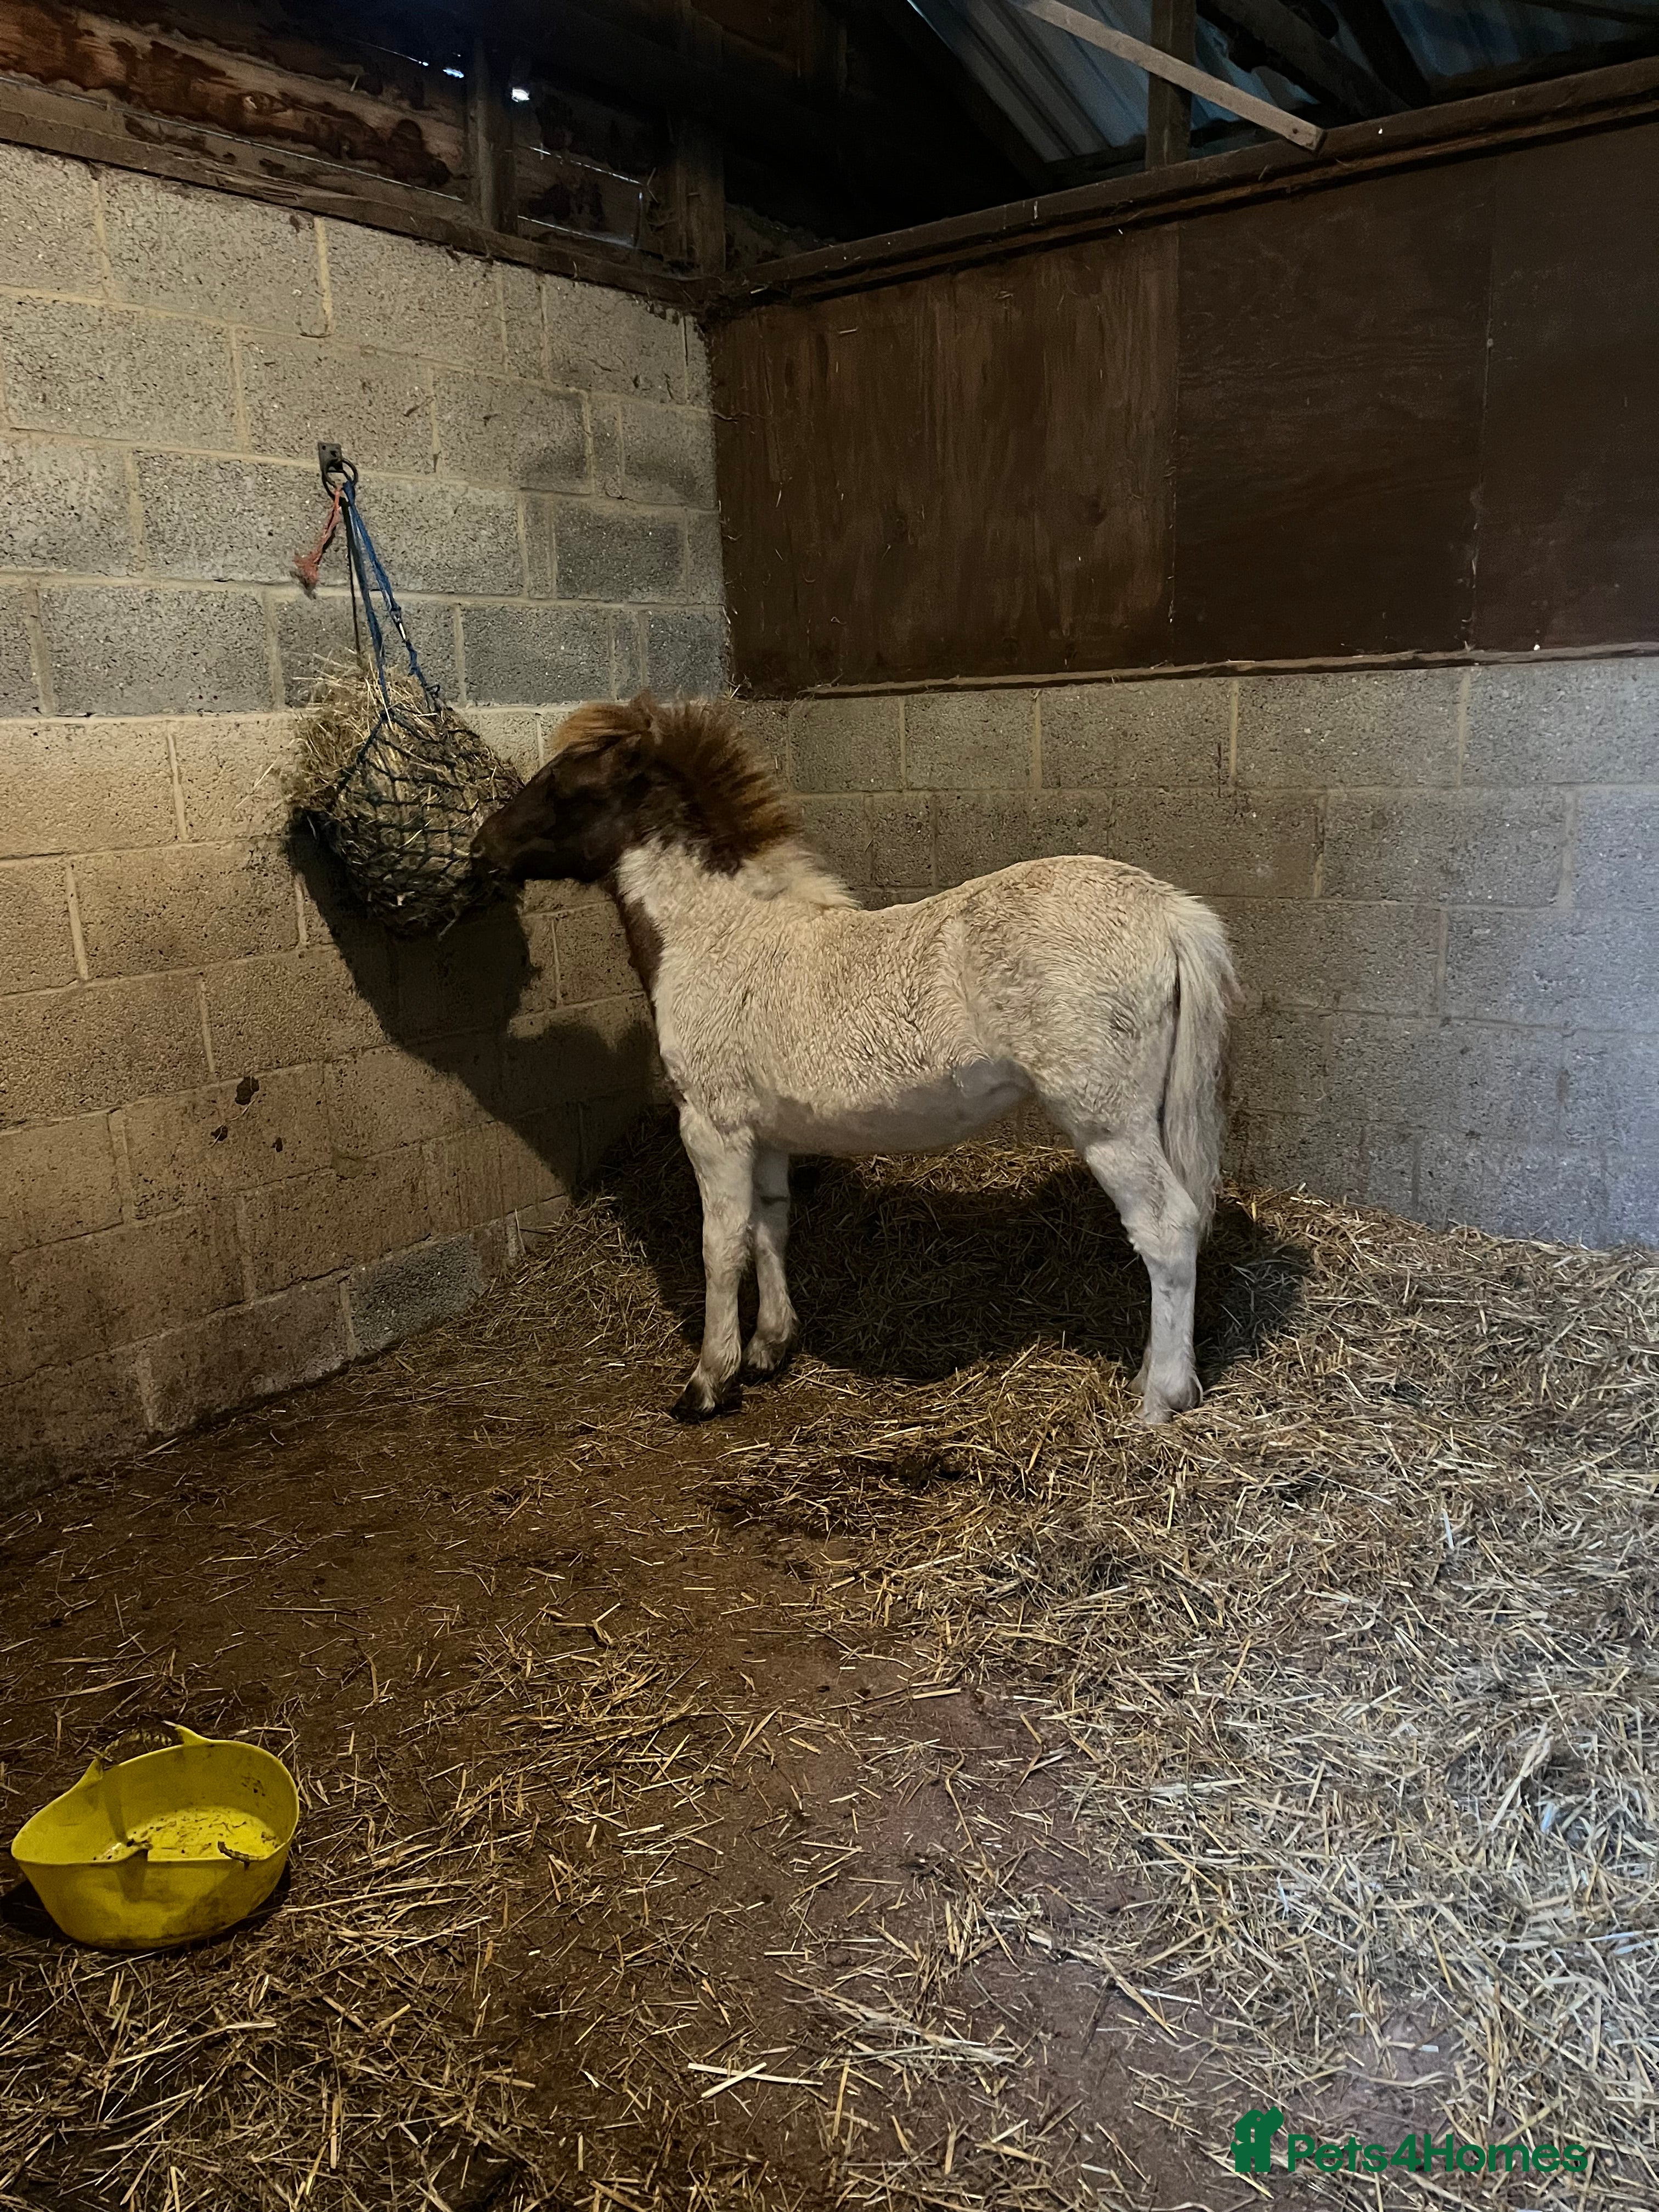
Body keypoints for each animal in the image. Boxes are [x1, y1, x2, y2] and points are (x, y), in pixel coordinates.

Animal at [474, 694, 1236, 1428]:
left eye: (562, 786)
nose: (483, 849)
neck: (716, 937)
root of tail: (1169, 912)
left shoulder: (712, 1128)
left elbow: (720, 1246)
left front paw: (709, 1382)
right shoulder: (767, 1134)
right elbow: (770, 1227)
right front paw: (769, 1349)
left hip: (1107, 1123)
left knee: (1167, 1228)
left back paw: (1160, 1400)